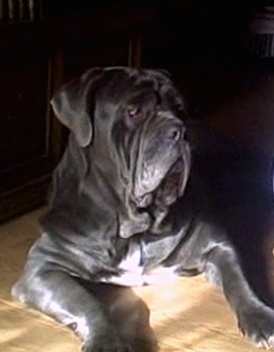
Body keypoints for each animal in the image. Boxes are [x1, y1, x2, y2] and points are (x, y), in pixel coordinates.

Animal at [12, 67, 274, 350]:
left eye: (179, 109)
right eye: (134, 111)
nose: (179, 130)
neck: (135, 228)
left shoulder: (217, 246)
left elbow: (239, 282)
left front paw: (261, 316)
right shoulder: (43, 268)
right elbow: (87, 303)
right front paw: (105, 340)